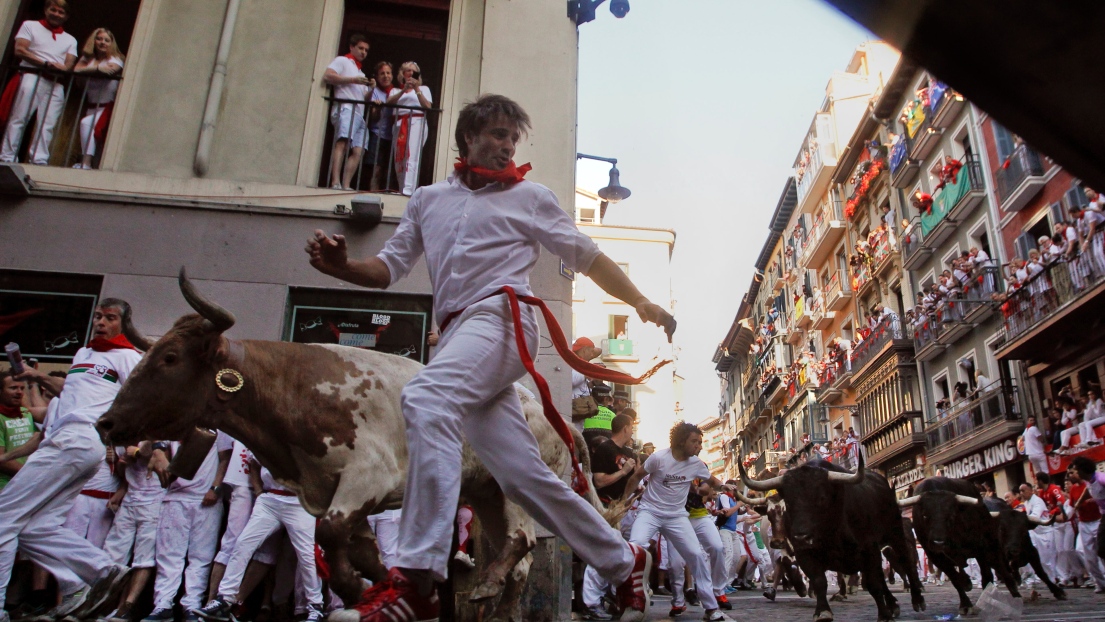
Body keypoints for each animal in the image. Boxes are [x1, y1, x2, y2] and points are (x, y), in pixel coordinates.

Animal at [97, 270, 605, 618]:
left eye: (169, 358)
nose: (106, 422)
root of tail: (550, 414)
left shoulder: (367, 478)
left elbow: (330, 537)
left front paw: (363, 592)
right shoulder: (334, 493)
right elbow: (360, 552)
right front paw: (385, 593)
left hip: (517, 488)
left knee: (522, 541)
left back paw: (485, 587)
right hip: (484, 493)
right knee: (517, 560)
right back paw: (497, 604)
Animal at [742, 455, 923, 618]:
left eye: (822, 499)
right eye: (789, 502)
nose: (801, 537)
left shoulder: (868, 549)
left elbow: (874, 582)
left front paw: (884, 614)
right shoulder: (803, 553)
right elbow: (818, 579)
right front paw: (821, 609)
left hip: (895, 534)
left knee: (905, 562)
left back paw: (916, 599)